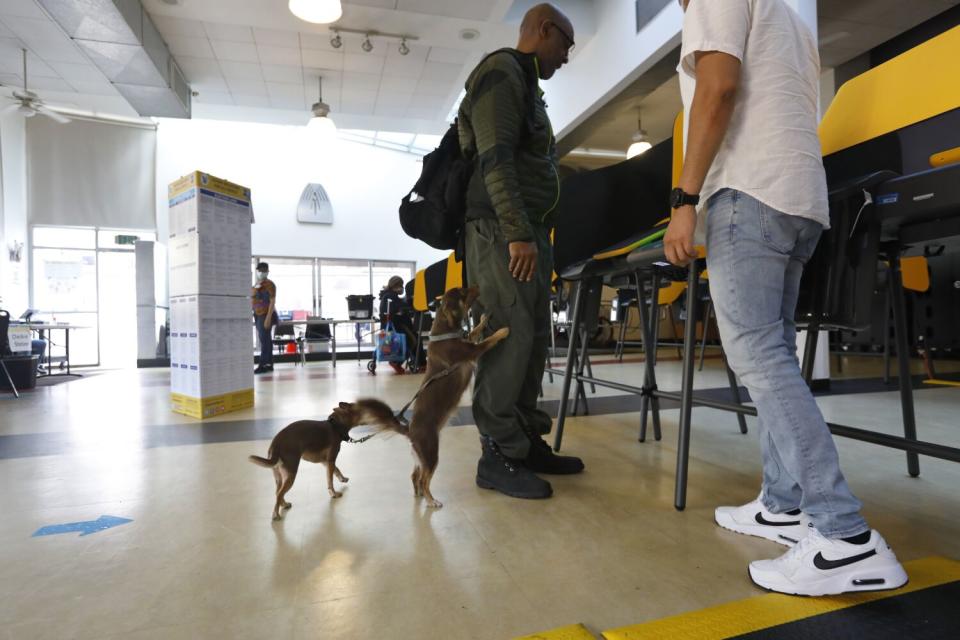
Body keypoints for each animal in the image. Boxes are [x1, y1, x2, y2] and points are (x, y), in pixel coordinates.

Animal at [249, 400, 404, 520]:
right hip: (291, 474)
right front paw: (334, 494)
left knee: (278, 493)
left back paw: (284, 504)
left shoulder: (326, 462)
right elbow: (330, 480)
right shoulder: (330, 460)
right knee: (279, 494)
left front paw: (342, 478)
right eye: (365, 411)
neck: (335, 427)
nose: (379, 415)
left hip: (279, 476)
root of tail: (276, 443)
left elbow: (337, 470)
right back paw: (276, 514)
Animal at [374, 286, 510, 510]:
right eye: (463, 293)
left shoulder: (468, 343)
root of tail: (409, 431)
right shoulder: (472, 350)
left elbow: (474, 331)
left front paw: (482, 320)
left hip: (420, 457)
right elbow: (488, 341)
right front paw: (502, 331)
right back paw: (431, 500)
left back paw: (420, 495)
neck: (446, 333)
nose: (475, 286)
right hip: (431, 454)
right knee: (424, 479)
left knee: (414, 476)